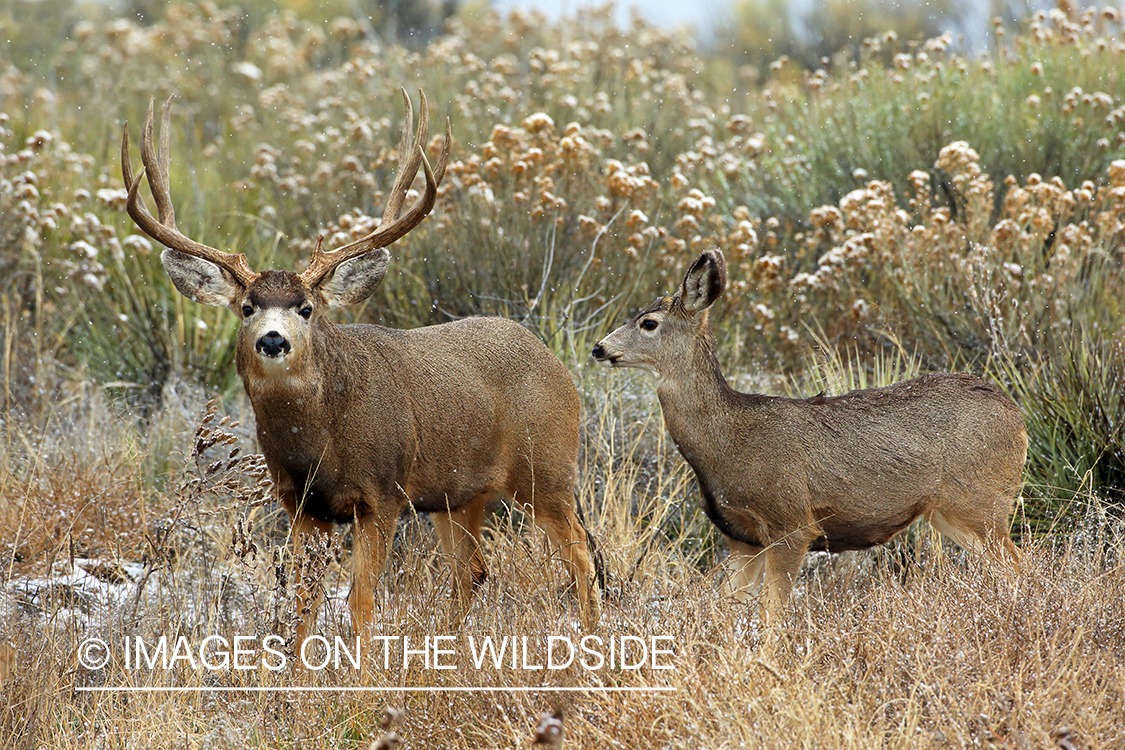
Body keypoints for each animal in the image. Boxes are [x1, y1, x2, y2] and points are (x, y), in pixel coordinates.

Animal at [121, 91, 601, 634]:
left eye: (306, 308)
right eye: (247, 307)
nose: (272, 340)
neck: (317, 442)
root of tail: (555, 363)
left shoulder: (382, 495)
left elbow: (361, 601)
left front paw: (364, 660)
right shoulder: (301, 504)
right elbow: (302, 600)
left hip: (548, 467)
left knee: (581, 558)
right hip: (457, 493)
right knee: (474, 570)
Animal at [592, 249, 1025, 621]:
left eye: (648, 323)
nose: (598, 348)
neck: (728, 440)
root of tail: (1017, 417)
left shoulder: (791, 523)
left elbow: (773, 615)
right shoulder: (743, 538)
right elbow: (726, 610)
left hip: (980, 502)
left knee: (1021, 567)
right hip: (949, 513)